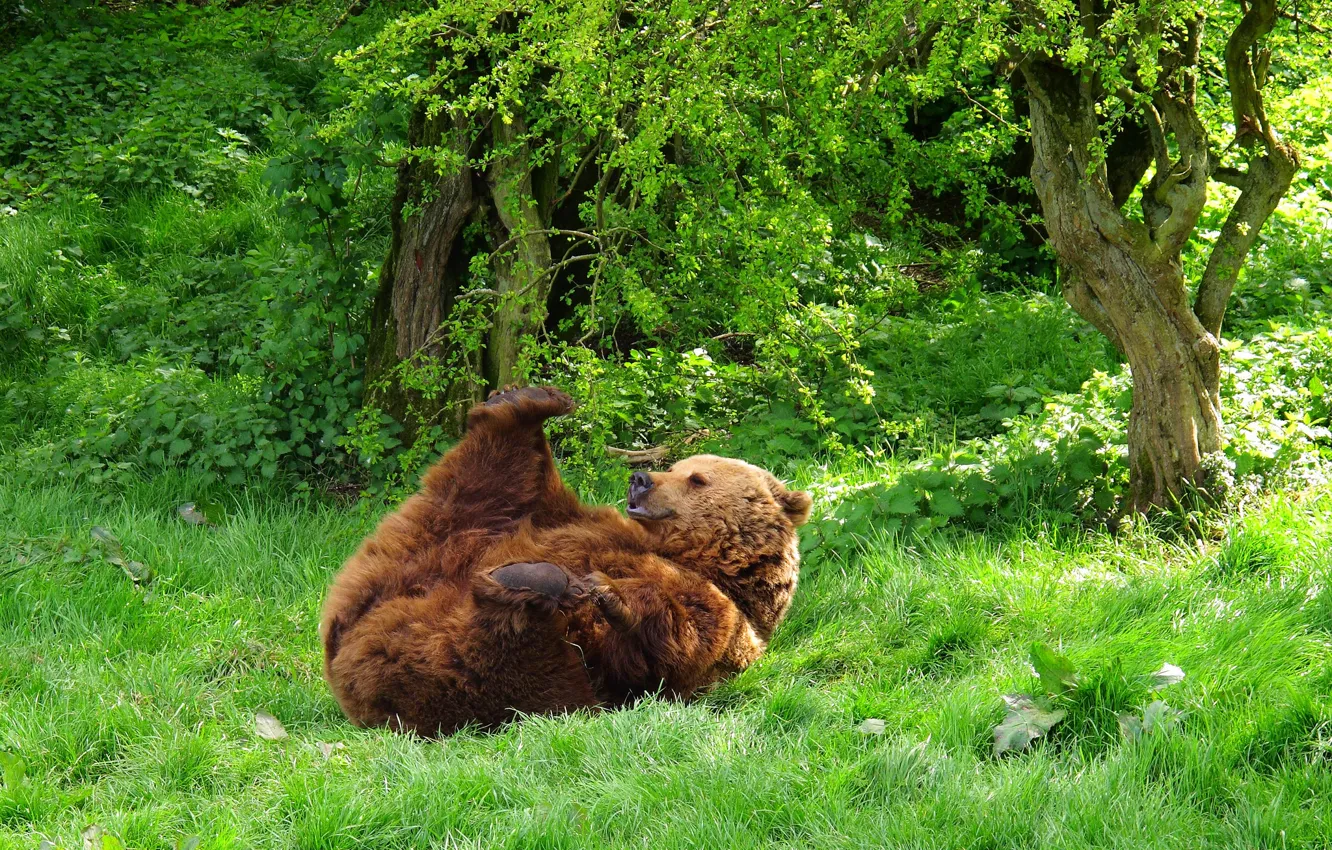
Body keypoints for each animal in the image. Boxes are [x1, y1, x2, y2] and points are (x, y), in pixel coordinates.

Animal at [320, 385, 811, 735]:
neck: (695, 555)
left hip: (515, 678)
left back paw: (531, 583)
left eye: (697, 479)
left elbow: (672, 644)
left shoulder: (722, 619)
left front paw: (611, 593)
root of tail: (344, 652)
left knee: (495, 650)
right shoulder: (583, 520)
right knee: (487, 482)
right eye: (675, 466)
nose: (640, 478)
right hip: (445, 539)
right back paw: (520, 403)